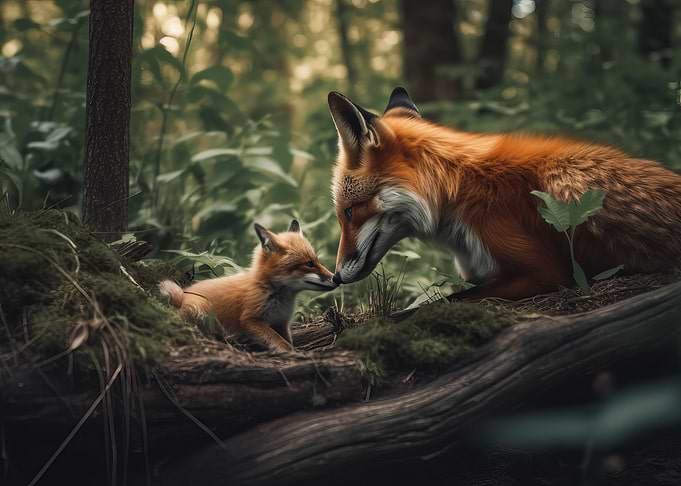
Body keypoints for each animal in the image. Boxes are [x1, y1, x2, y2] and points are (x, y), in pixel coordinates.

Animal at [159, 220, 337, 352]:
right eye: (309, 264)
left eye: (318, 261)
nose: (336, 278)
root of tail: (183, 294)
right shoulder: (250, 320)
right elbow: (282, 344)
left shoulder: (282, 322)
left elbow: (287, 341)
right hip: (203, 309)